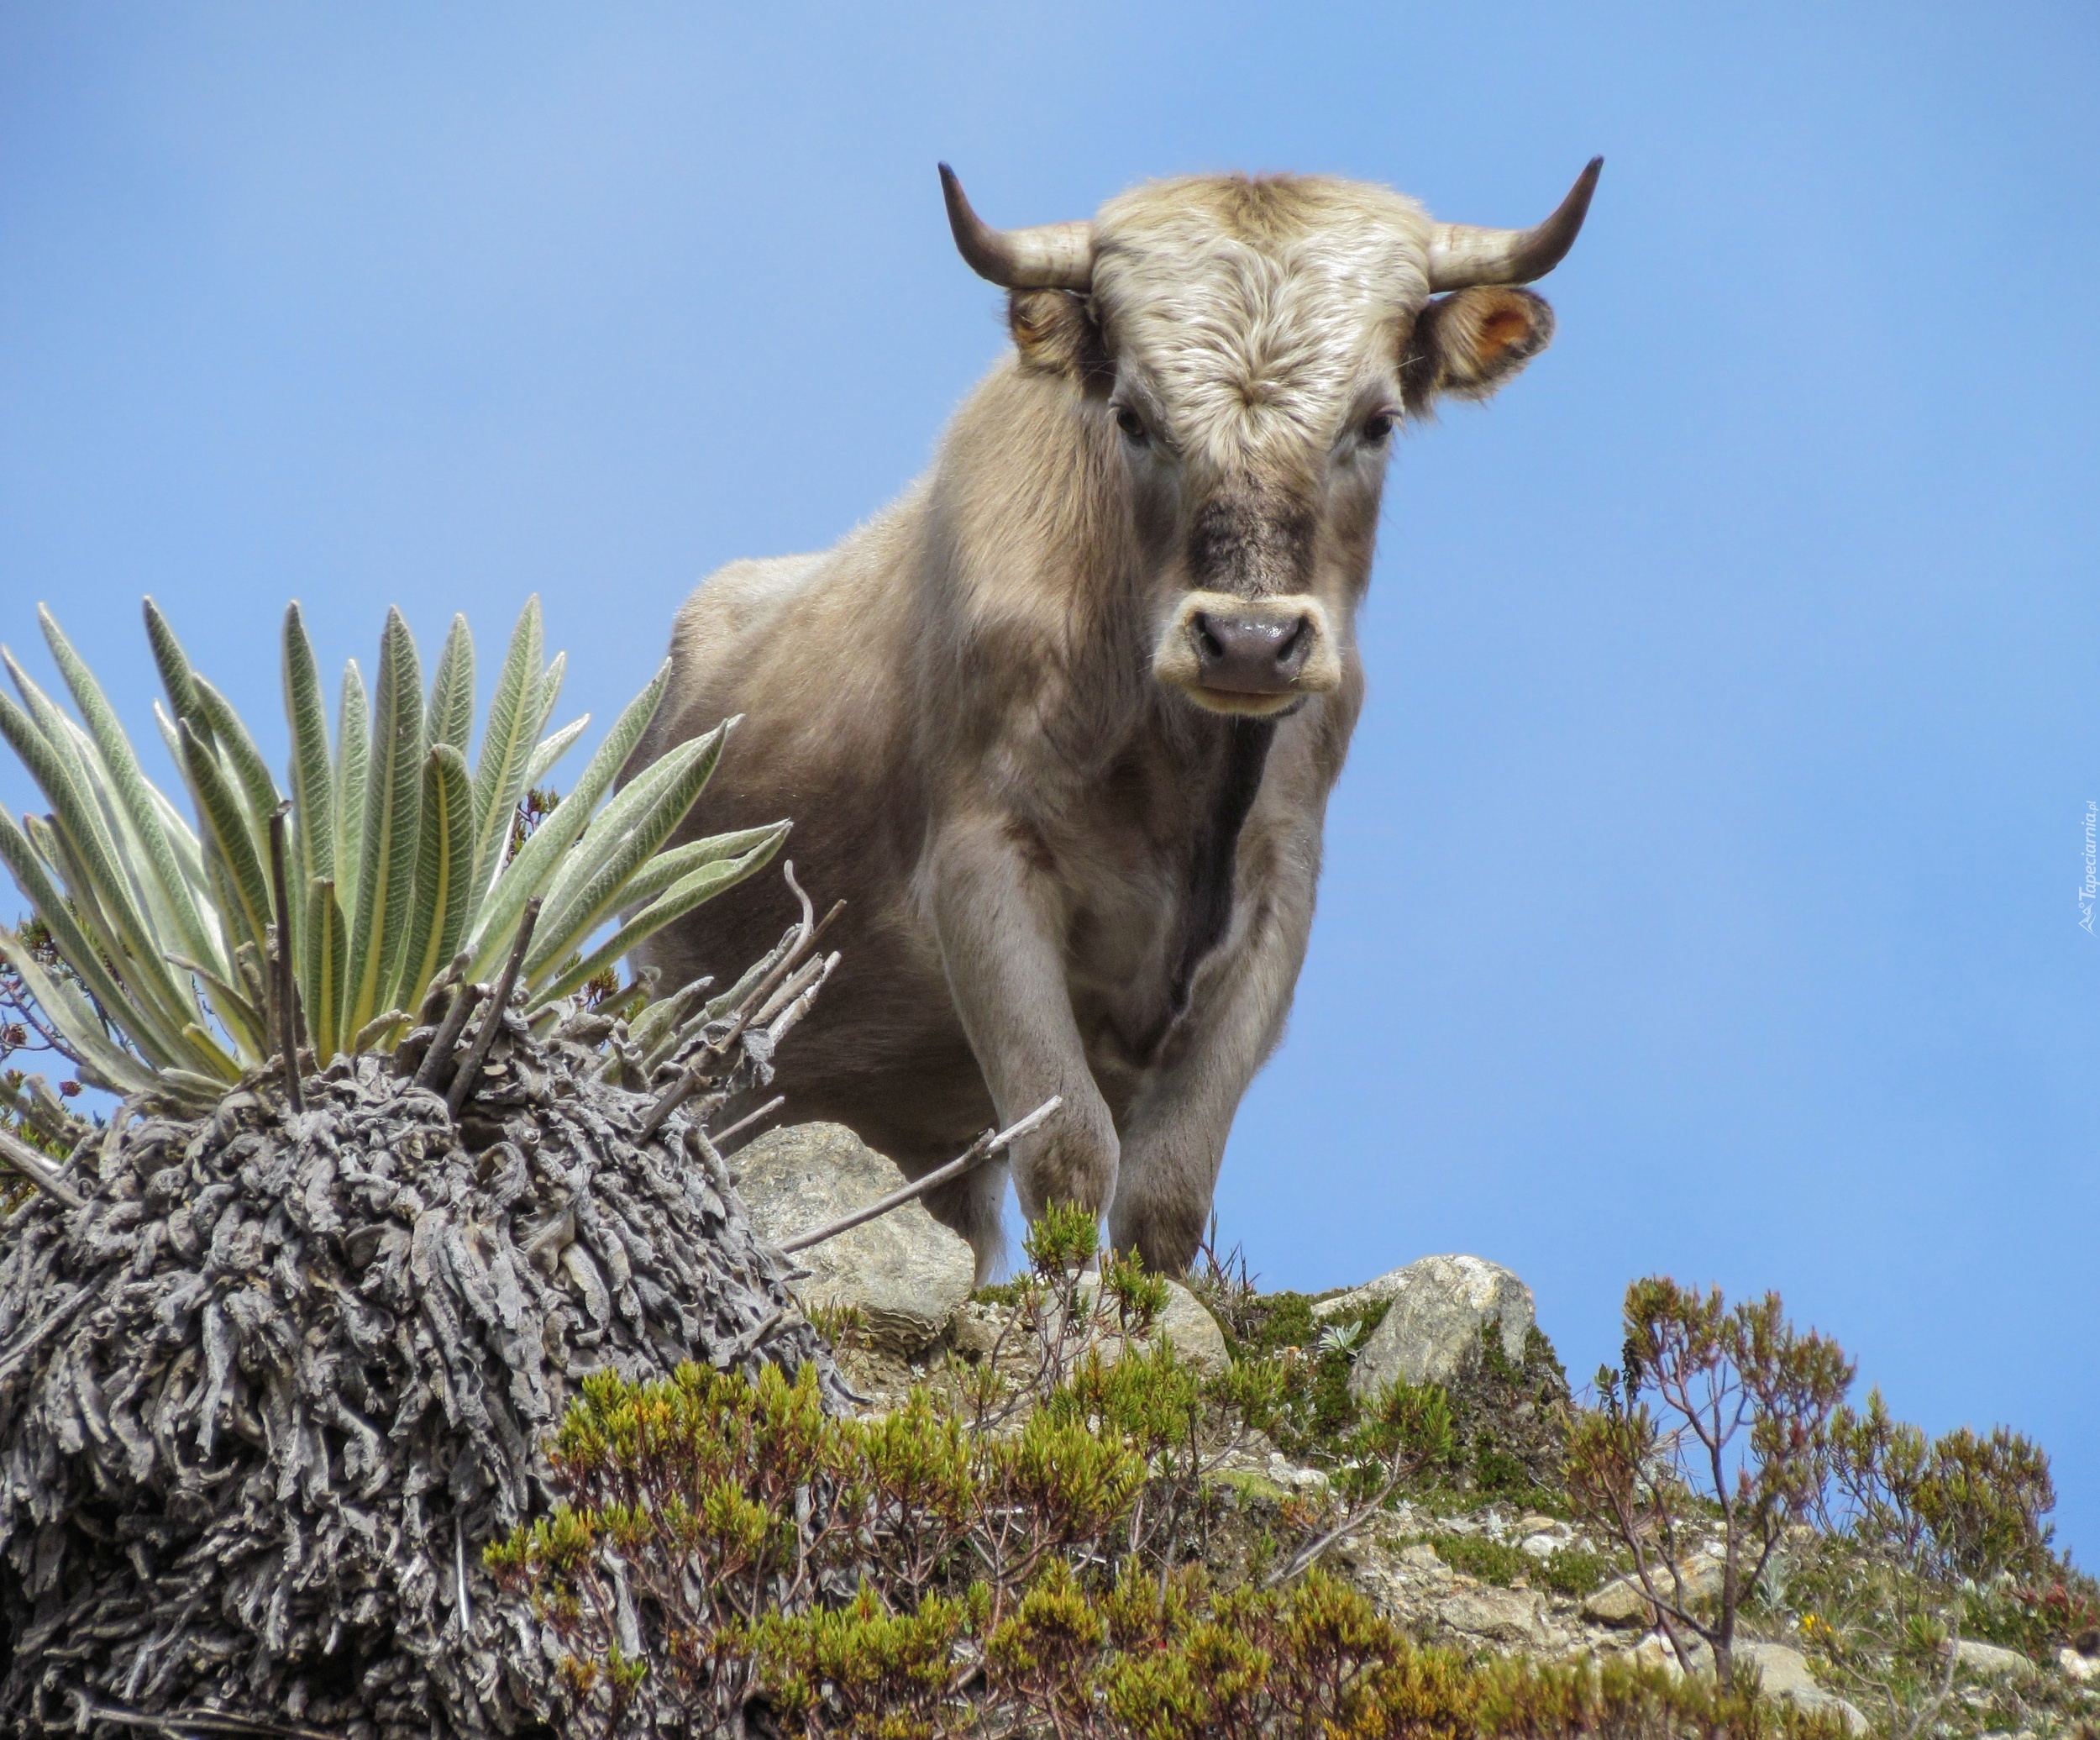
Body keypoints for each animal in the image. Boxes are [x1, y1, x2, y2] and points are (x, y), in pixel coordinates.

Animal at [622, 162, 1588, 1277]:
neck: (1176, 775)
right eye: (1132, 416)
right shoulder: (981, 867)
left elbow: (1166, 1194)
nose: (1248, 640)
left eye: (1377, 421)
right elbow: (1070, 1157)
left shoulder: (1278, 898)